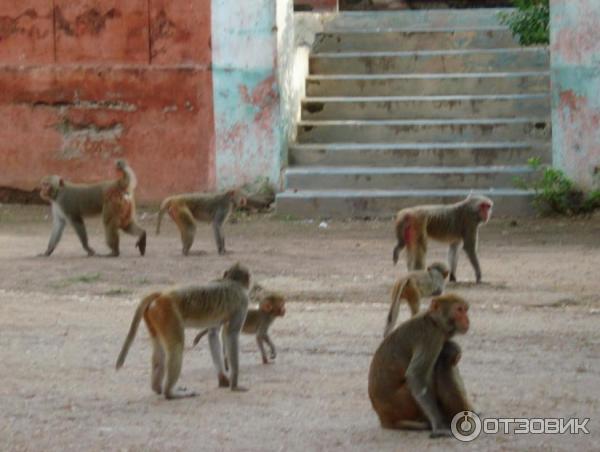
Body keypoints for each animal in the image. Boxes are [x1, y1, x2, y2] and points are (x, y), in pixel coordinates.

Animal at [115, 262, 251, 400]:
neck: (231, 281)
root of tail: (162, 295)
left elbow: (213, 334)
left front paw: (222, 379)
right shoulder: (243, 302)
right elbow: (232, 335)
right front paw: (234, 385)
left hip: (154, 316)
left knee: (160, 350)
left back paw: (157, 388)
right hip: (167, 313)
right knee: (177, 346)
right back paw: (169, 393)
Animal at [366, 294, 474, 436]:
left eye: (465, 310)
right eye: (459, 309)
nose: (467, 320)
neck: (434, 321)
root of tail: (383, 418)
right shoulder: (430, 336)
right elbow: (416, 375)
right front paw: (439, 425)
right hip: (402, 402)